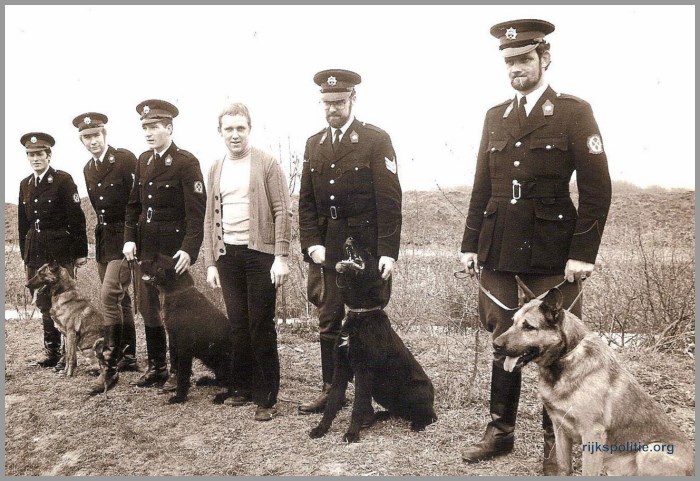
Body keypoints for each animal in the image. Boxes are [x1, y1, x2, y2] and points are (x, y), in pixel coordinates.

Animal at [139, 253, 235, 404]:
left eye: (156, 262)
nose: (139, 262)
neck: (178, 292)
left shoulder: (184, 347)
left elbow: (183, 374)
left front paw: (179, 397)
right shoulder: (174, 341)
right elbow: (179, 370)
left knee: (233, 386)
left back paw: (221, 396)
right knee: (221, 380)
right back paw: (205, 381)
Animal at [308, 236, 434, 442]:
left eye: (367, 251)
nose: (349, 237)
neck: (360, 315)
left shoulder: (363, 370)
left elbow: (358, 405)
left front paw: (352, 434)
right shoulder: (341, 368)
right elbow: (332, 403)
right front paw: (321, 429)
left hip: (416, 391)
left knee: (429, 415)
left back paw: (418, 424)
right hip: (382, 392)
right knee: (399, 411)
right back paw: (382, 415)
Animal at [492, 276, 696, 474]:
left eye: (528, 327)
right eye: (513, 322)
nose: (495, 344)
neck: (566, 357)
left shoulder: (592, 434)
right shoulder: (560, 429)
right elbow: (563, 467)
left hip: (650, 452)